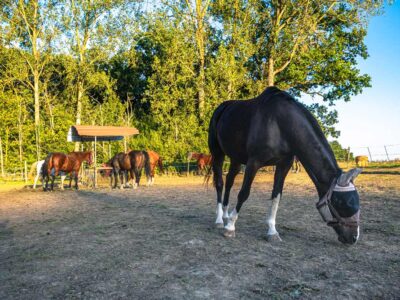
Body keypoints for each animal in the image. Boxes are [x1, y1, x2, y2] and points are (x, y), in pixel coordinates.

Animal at [209, 86, 362, 244]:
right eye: (342, 203)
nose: (353, 238)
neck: (280, 125)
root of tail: (222, 108)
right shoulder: (253, 163)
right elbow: (244, 193)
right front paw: (231, 227)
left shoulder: (284, 165)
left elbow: (276, 196)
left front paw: (272, 231)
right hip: (218, 153)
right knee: (220, 183)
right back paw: (220, 220)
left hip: (236, 158)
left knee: (229, 181)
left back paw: (226, 215)